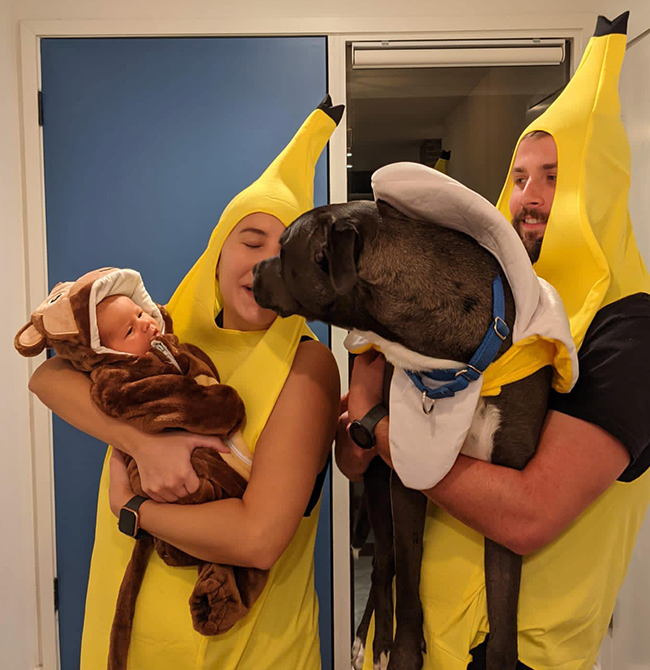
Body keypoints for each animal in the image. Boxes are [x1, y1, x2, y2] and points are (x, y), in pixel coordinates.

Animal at [253, 164, 572, 670]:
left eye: (284, 250)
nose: (252, 272)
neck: (463, 363)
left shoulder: (508, 495)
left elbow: (503, 612)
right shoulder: (403, 480)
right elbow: (405, 575)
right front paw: (400, 649)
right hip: (375, 483)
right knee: (384, 565)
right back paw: (370, 638)